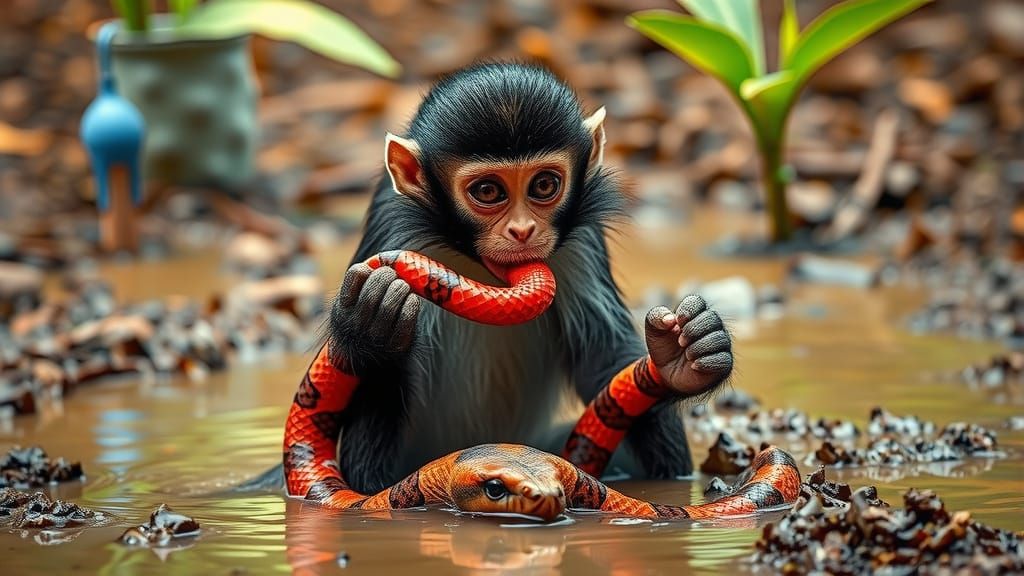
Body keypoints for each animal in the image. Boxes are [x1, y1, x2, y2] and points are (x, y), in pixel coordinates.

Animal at [315, 62, 733, 495]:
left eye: (544, 185)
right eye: (487, 191)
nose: (522, 230)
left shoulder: (581, 239)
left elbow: (604, 357)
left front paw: (679, 358)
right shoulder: (394, 228)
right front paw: (370, 323)